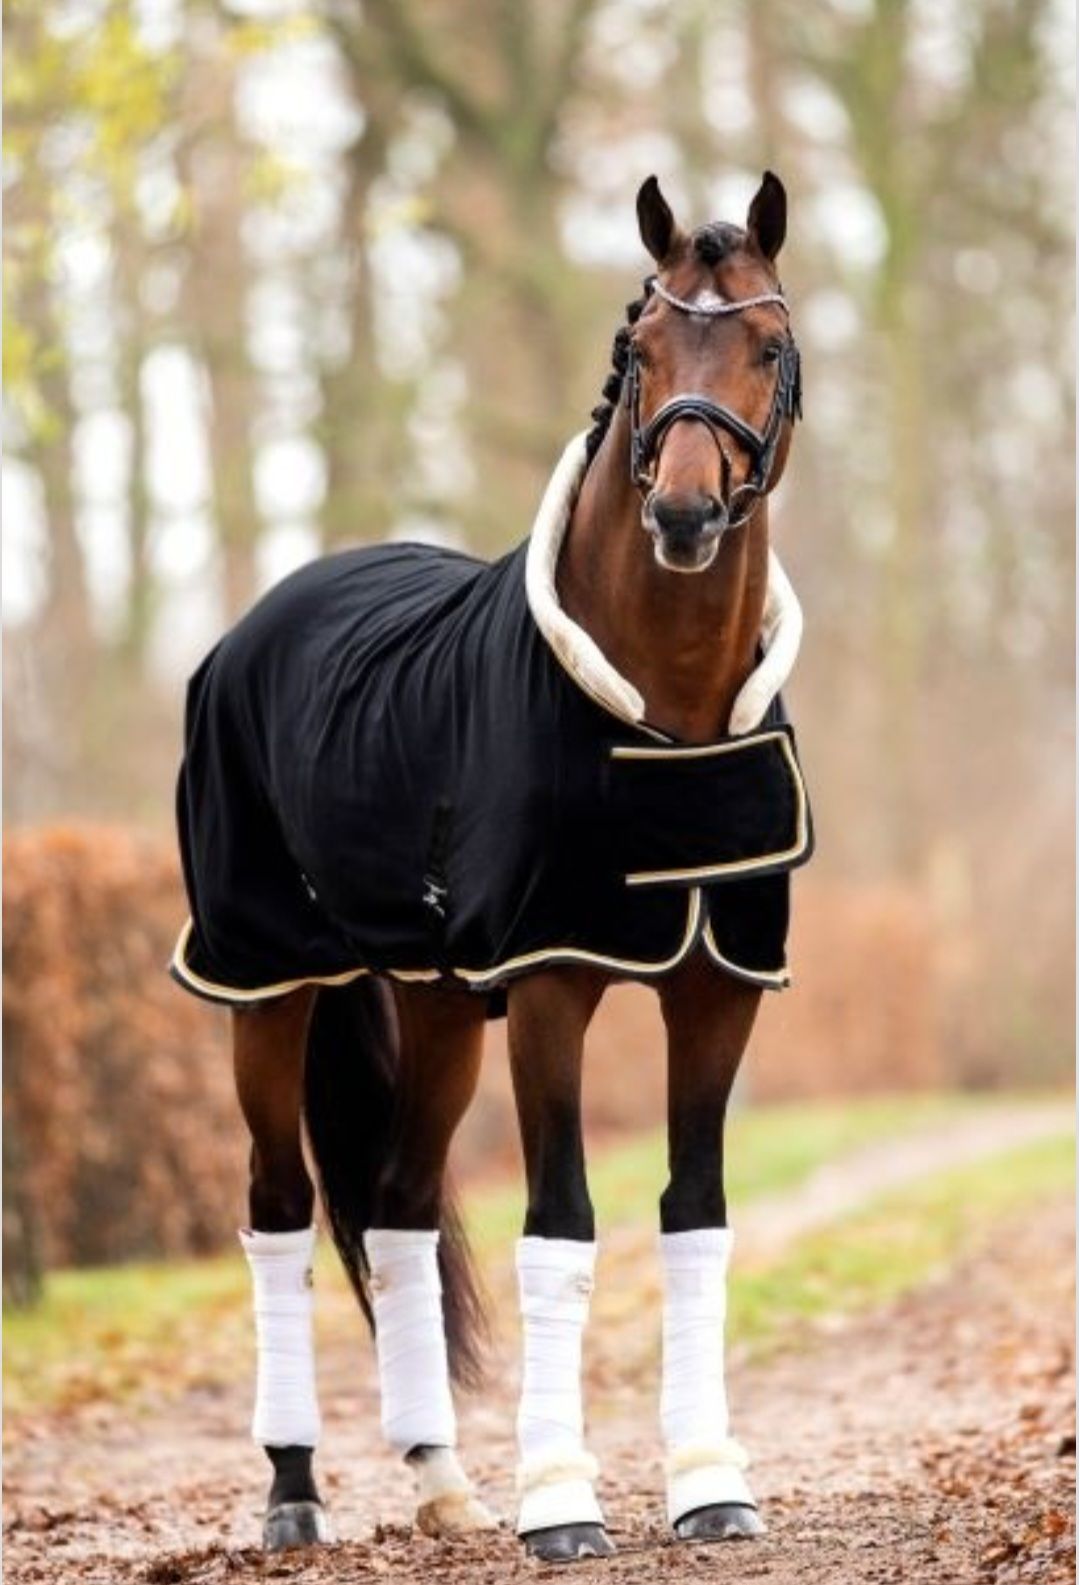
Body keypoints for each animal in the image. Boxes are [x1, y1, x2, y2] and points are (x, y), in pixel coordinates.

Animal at [171, 171, 809, 1563]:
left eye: (767, 345)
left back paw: (441, 1480)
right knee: (277, 1207)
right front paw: (563, 1504)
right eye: (641, 350)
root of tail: (263, 620)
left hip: (435, 1004)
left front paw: (710, 1486)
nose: (684, 516)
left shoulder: (719, 986)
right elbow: (560, 1225)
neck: (667, 718)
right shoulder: (556, 985)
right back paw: (295, 1490)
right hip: (267, 983)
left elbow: (696, 1214)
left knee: (400, 1203)